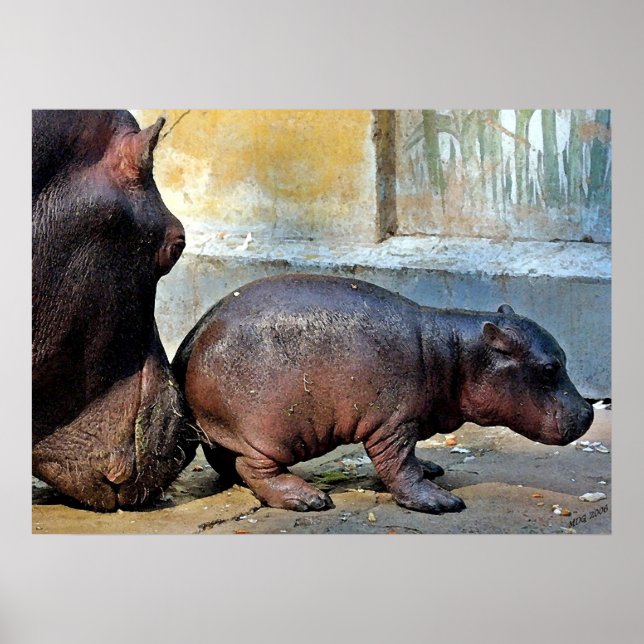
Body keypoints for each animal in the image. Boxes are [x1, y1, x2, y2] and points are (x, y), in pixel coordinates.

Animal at [172, 273, 594, 514]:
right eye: (550, 369)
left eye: (563, 358)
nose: (590, 413)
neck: (455, 353)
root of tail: (190, 339)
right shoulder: (395, 423)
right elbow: (399, 466)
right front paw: (441, 502)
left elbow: (413, 460)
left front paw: (432, 468)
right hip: (272, 433)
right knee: (253, 468)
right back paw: (310, 499)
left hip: (227, 431)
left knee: (226, 462)